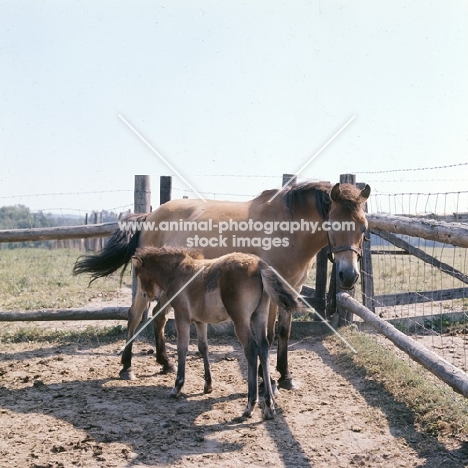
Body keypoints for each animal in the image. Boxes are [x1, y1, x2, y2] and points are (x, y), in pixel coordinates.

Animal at [131, 247, 296, 418]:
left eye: (139, 275)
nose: (147, 295)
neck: (177, 271)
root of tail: (259, 266)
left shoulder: (181, 316)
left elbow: (182, 348)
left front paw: (177, 387)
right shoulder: (200, 321)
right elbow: (203, 348)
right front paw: (208, 385)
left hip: (241, 320)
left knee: (251, 350)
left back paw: (250, 405)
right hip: (259, 316)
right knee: (263, 348)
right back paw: (269, 406)